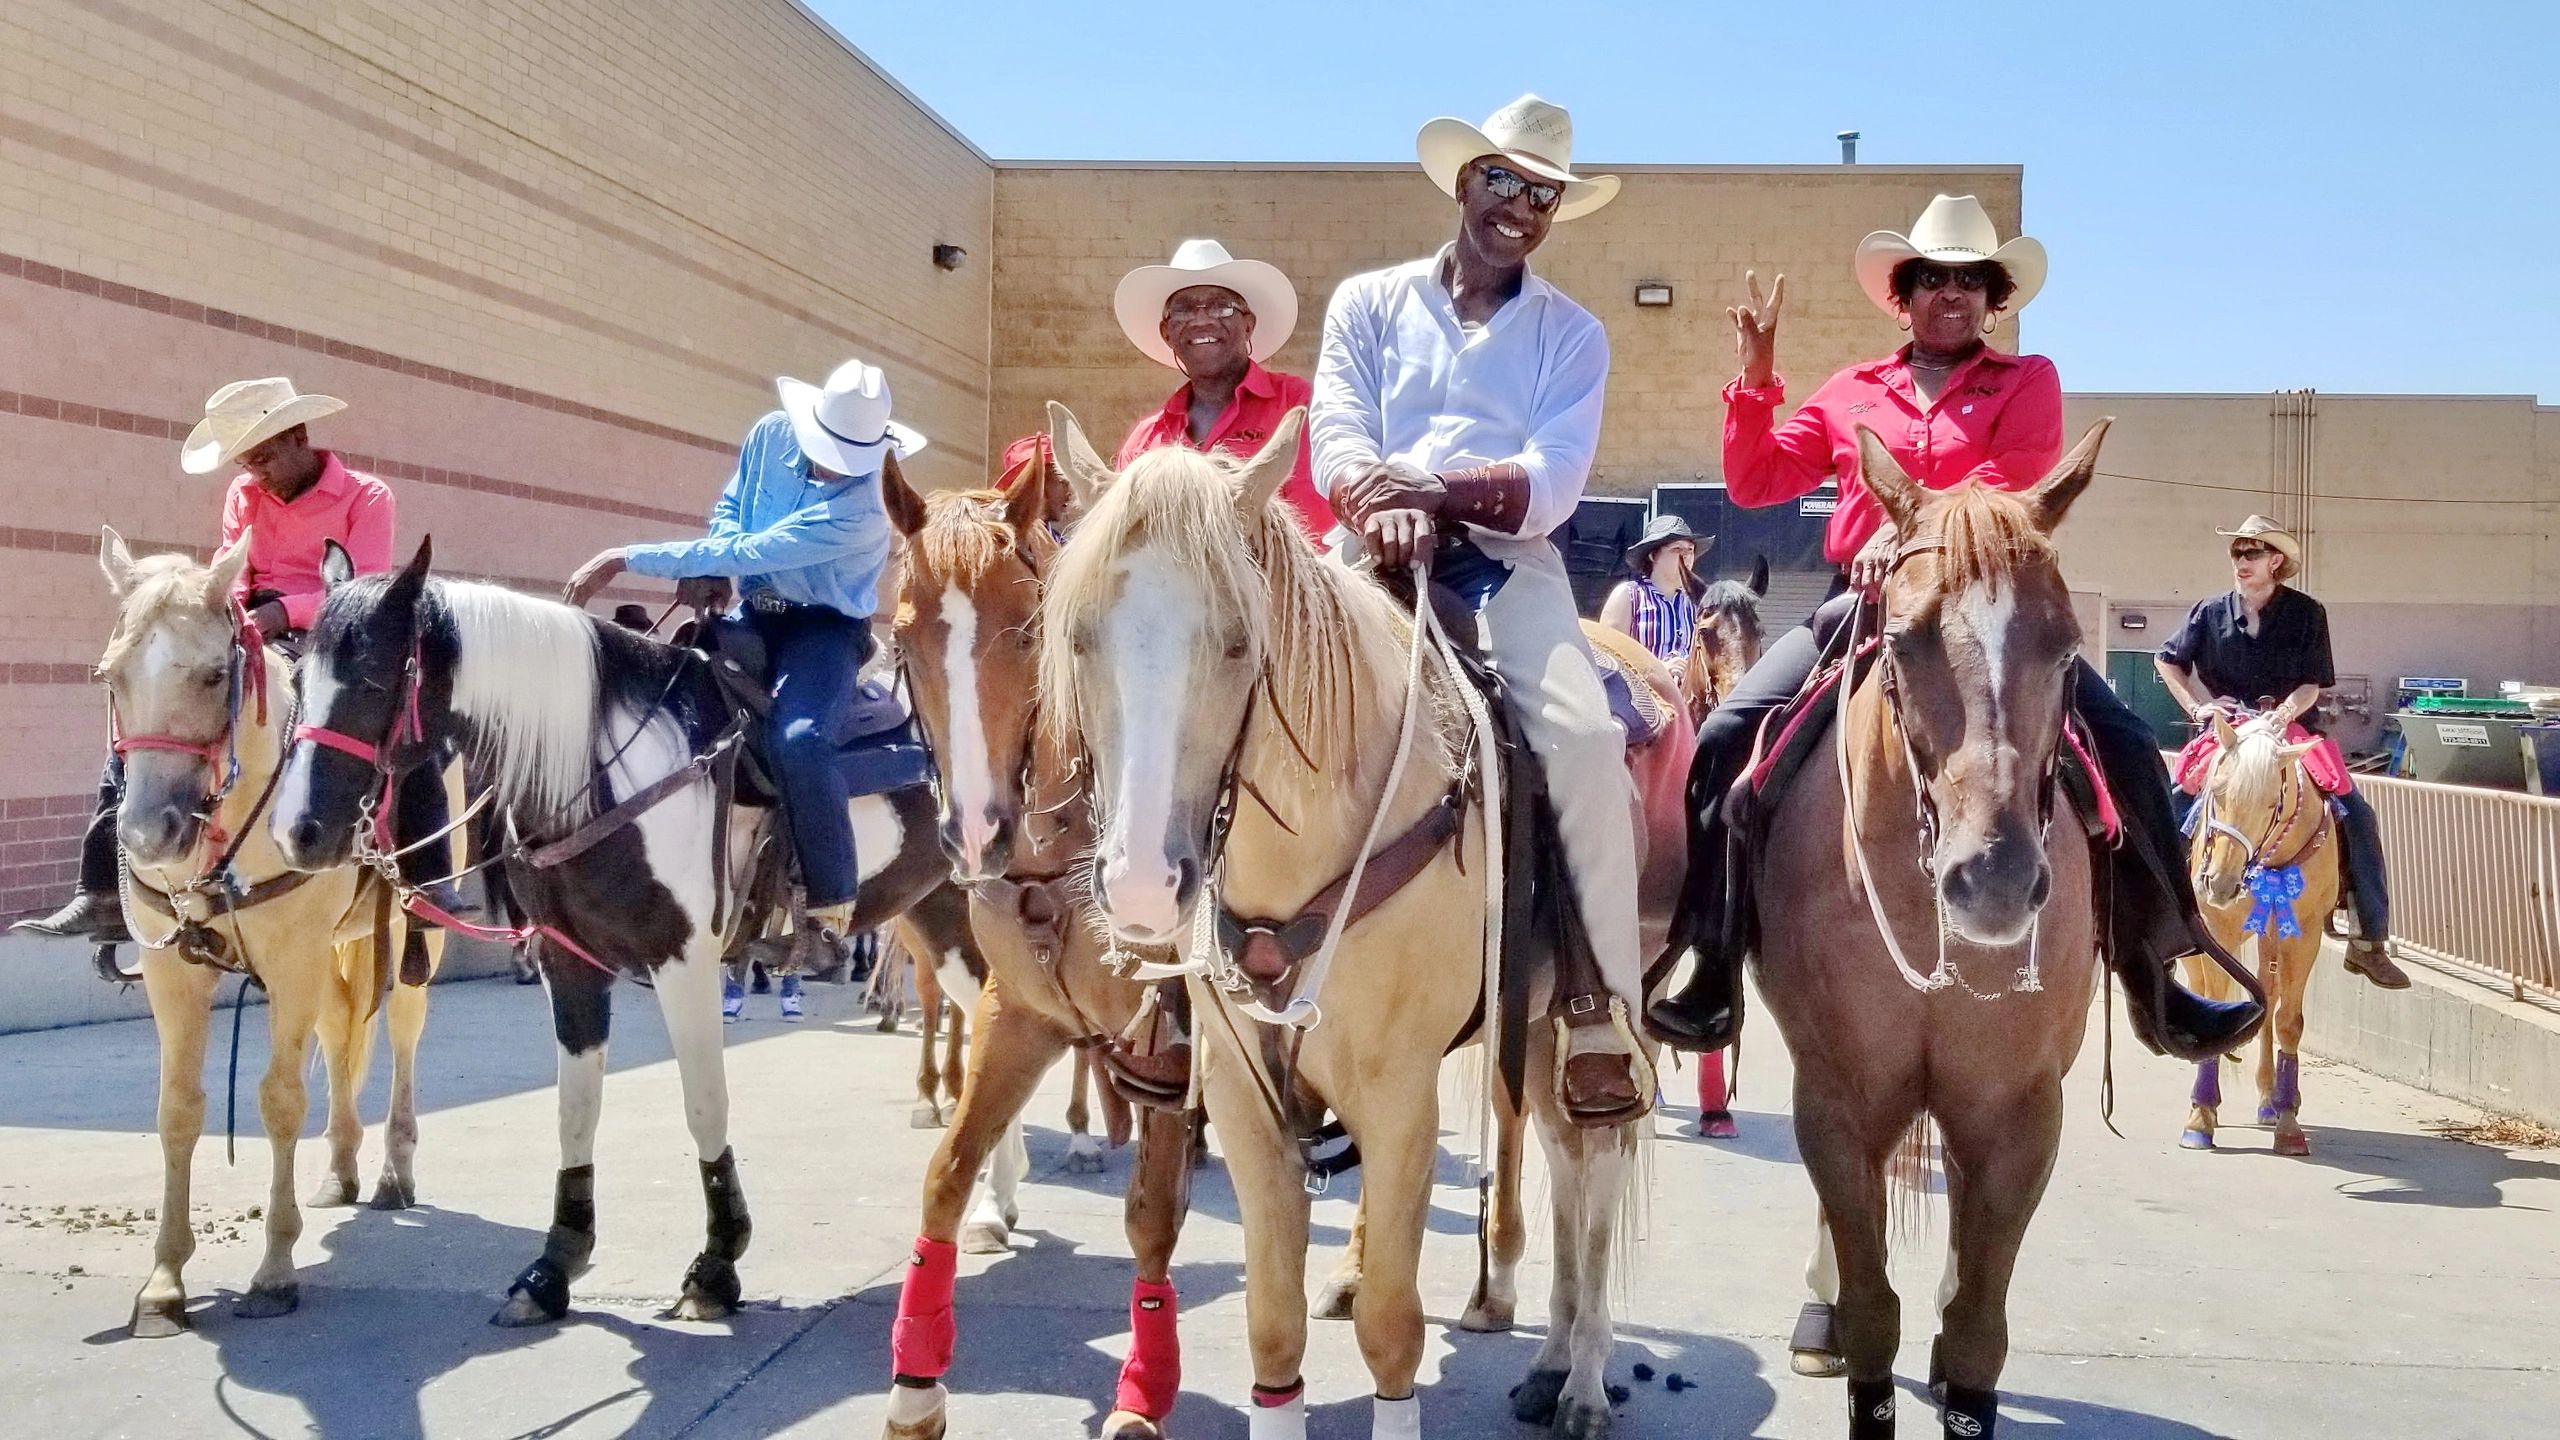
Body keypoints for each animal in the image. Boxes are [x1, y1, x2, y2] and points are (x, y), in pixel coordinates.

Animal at [87, 530, 450, 1332]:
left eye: (214, 674)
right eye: (111, 676)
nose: (146, 834)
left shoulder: (292, 963)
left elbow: (281, 1100)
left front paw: (276, 1270)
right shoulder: (174, 973)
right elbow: (179, 1109)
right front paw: (164, 1283)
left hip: (412, 933)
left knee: (404, 1029)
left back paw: (394, 1169)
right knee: (343, 1032)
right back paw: (341, 1167)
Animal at [272, 535, 967, 1322]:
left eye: (370, 679)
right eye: (297, 677)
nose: (297, 832)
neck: (600, 775)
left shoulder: (685, 961)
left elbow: (704, 1104)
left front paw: (716, 1265)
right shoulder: (569, 959)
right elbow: (576, 1109)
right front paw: (554, 1265)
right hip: (942, 909)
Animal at [1044, 404, 1658, 1434]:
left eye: (1238, 643)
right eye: (1082, 637)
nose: (1140, 888)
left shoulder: (1401, 1092)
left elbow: (1392, 1329)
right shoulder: (1248, 1099)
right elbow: (1273, 1323)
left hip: (1600, 1009)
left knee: (1599, 1159)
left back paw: (1582, 1377)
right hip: (1531, 1024)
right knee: (1563, 1155)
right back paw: (1549, 1360)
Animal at [1751, 420, 2109, 1424]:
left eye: (2068, 648)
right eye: (1904, 642)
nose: (1993, 879)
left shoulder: (2017, 1110)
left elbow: (1979, 1330)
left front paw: (1960, 1359)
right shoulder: (1836, 1098)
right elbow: (1874, 1311)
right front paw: (1843, 1324)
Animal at [2170, 707, 2334, 1153]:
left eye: (2272, 803)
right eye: (2218, 791)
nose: (2220, 884)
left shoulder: (2304, 933)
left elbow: (2289, 1021)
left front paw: (2289, 1121)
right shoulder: (2217, 928)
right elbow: (2216, 1000)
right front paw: (2200, 1116)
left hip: (2270, 936)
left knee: (2270, 993)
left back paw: (2269, 1099)